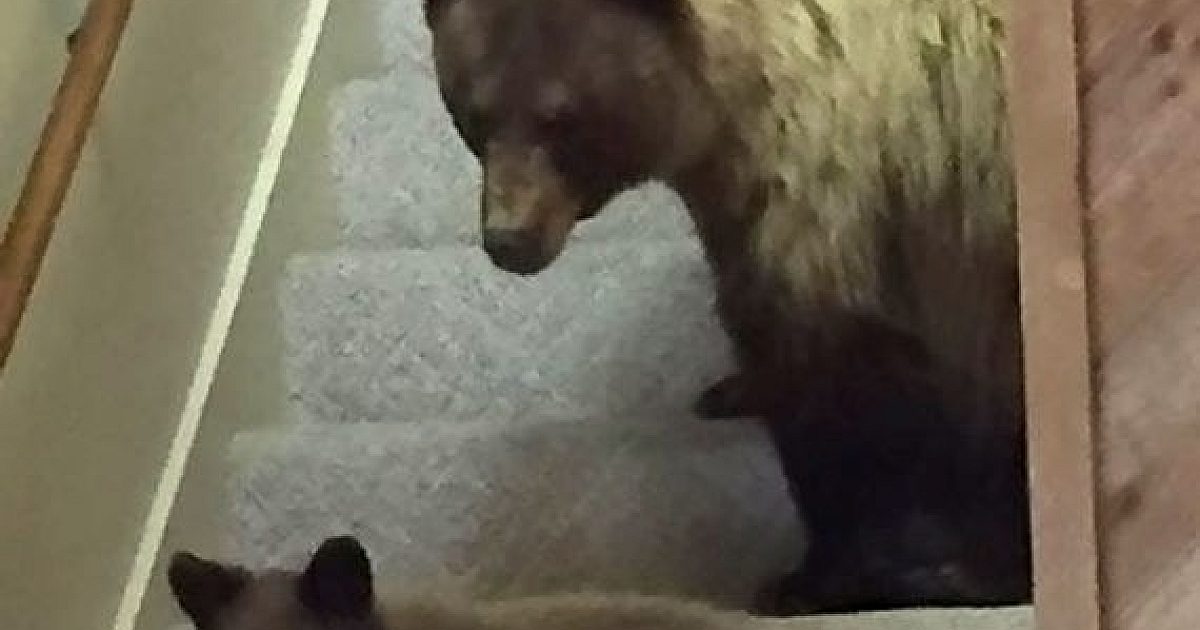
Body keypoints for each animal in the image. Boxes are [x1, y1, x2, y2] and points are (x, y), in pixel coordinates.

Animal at [423, 0, 1030, 615]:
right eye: (475, 115)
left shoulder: (843, 199)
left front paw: (823, 578)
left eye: (561, 118)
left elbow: (842, 385)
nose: (509, 239)